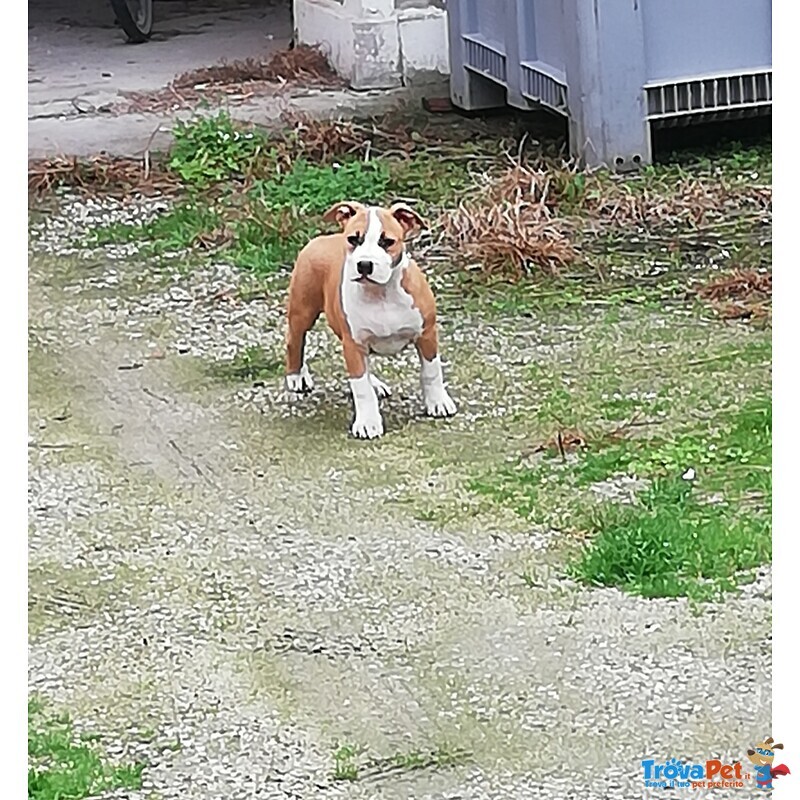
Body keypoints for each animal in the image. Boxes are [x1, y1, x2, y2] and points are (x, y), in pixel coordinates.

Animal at [284, 200, 456, 438]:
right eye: (353, 239)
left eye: (387, 242)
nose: (364, 265)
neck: (380, 293)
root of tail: (323, 238)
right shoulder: (353, 344)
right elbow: (361, 387)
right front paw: (367, 422)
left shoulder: (427, 334)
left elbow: (432, 372)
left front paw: (438, 402)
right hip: (303, 310)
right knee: (295, 340)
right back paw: (296, 376)